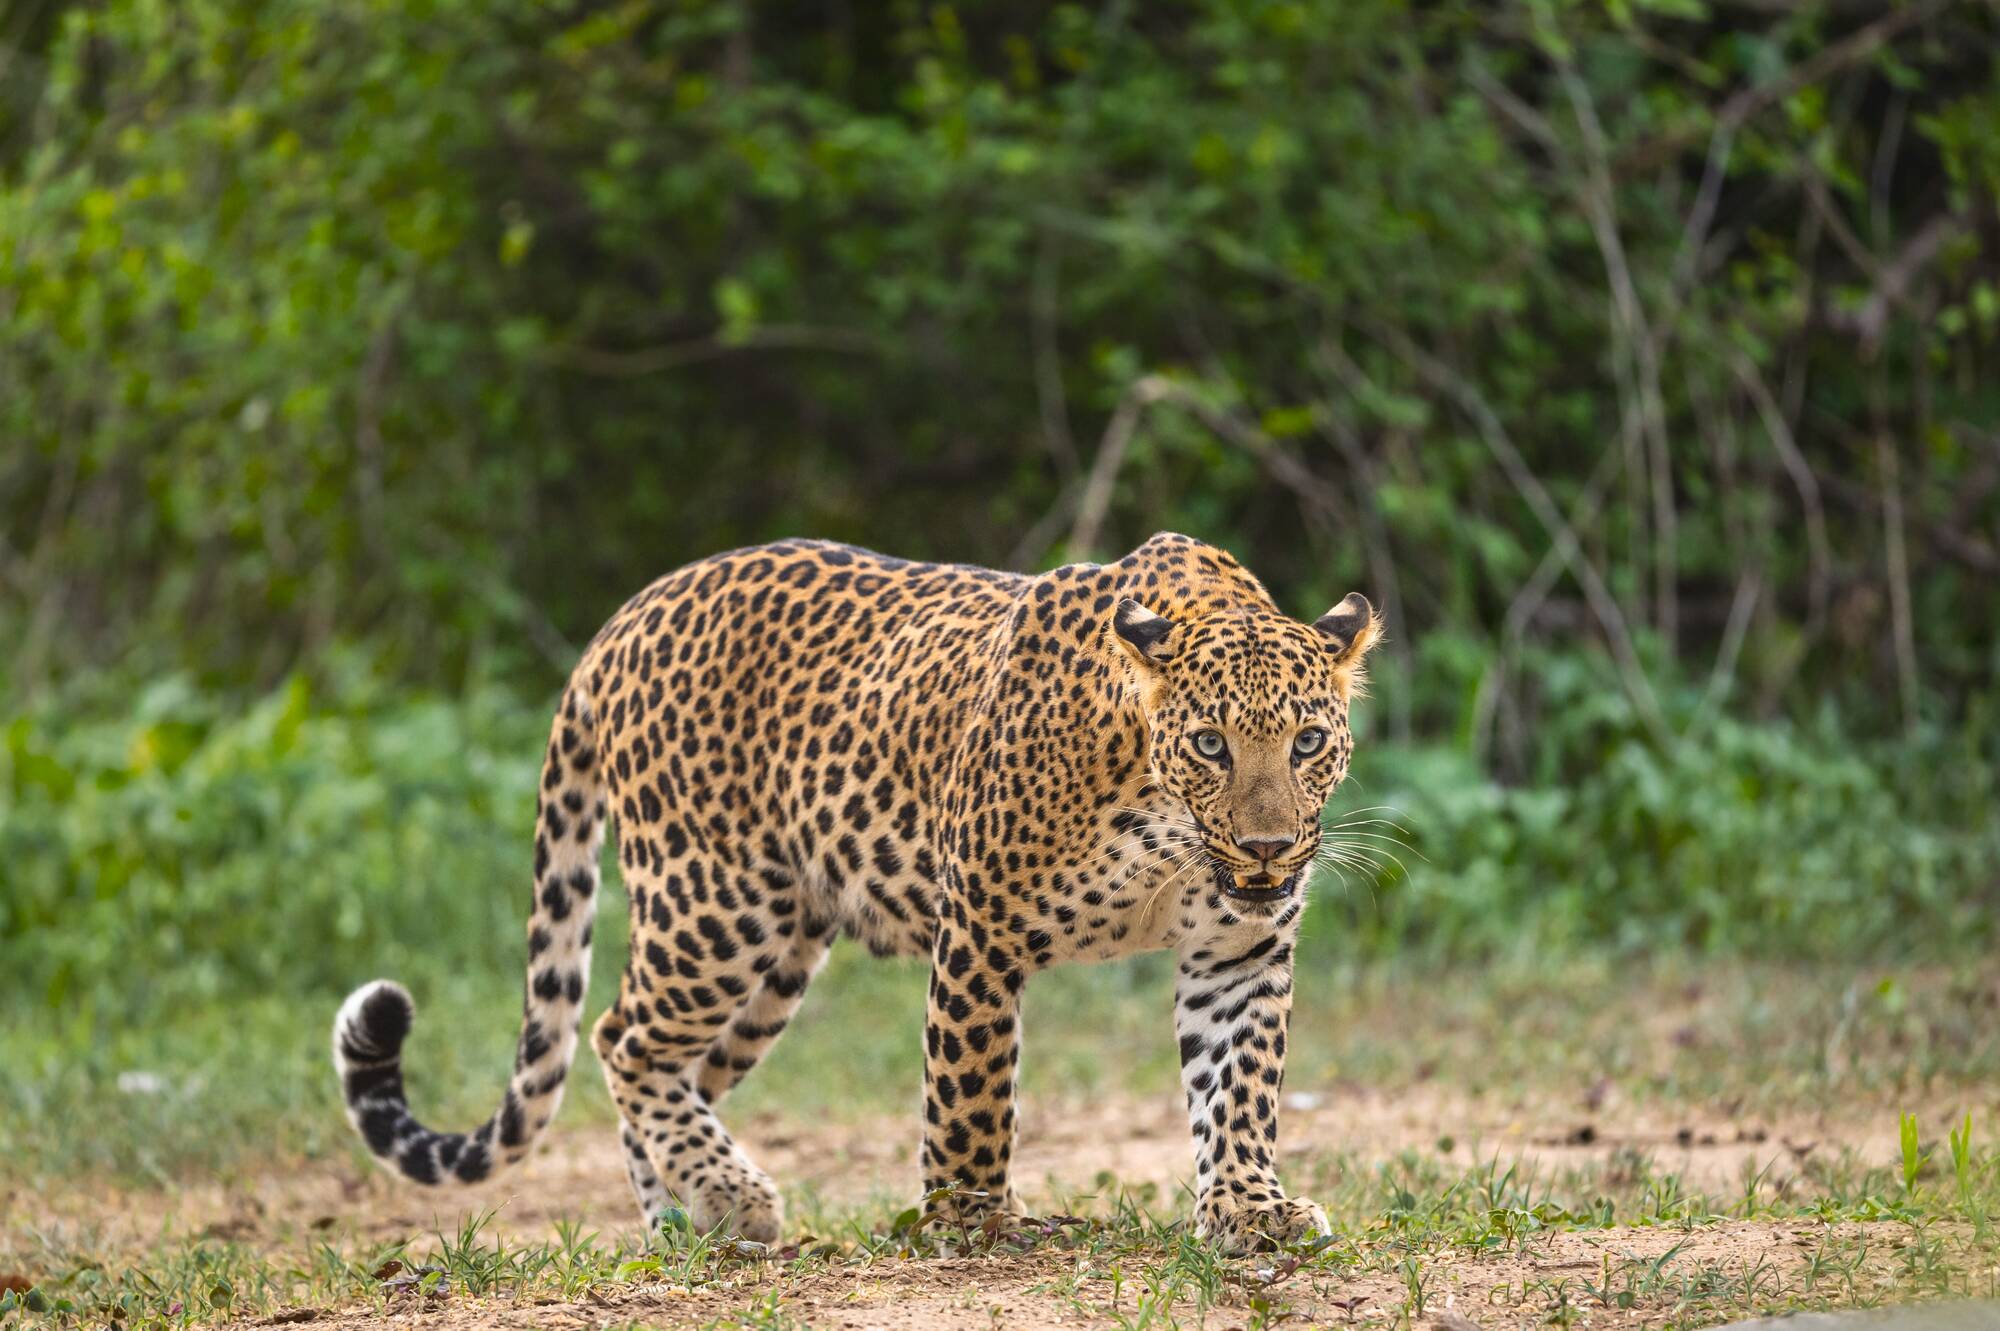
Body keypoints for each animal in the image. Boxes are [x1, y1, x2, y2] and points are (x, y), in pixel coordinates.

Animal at [332, 531, 1379, 1253]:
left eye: (1307, 742)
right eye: (1209, 743)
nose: (1268, 846)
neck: (1165, 827)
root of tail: (620, 622)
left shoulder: (1239, 949)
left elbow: (1240, 1086)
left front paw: (1250, 1209)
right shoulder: (981, 929)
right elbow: (971, 1092)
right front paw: (969, 1222)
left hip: (779, 959)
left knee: (670, 1066)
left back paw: (684, 1217)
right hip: (713, 905)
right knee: (622, 1036)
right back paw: (731, 1197)